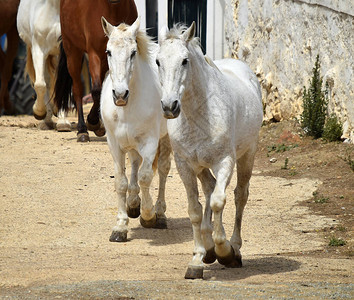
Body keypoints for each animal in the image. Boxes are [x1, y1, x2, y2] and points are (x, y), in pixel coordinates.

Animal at [16, 0, 71, 131]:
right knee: (46, 81)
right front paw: (39, 112)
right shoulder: (39, 49)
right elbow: (40, 85)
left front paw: (63, 121)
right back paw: (46, 121)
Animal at [54, 0, 138, 142]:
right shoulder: (95, 54)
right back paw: (82, 130)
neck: (113, 8)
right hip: (72, 51)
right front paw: (93, 122)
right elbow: (96, 90)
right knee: (77, 89)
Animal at [100, 17, 172, 243]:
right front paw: (120, 226)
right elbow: (121, 182)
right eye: (108, 52)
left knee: (163, 170)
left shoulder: (149, 142)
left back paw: (160, 214)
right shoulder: (114, 144)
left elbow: (146, 177)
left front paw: (148, 215)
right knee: (134, 163)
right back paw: (133, 203)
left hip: (165, 139)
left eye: (133, 52)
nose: (120, 94)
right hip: (130, 144)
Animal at [156, 22, 264, 278]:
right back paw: (208, 247)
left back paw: (234, 247)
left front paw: (224, 250)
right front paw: (197, 259)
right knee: (209, 187)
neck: (199, 115)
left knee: (239, 196)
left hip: (247, 156)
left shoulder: (225, 162)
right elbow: (195, 210)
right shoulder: (185, 166)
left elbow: (218, 202)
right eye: (157, 61)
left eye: (185, 60)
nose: (169, 106)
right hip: (200, 167)